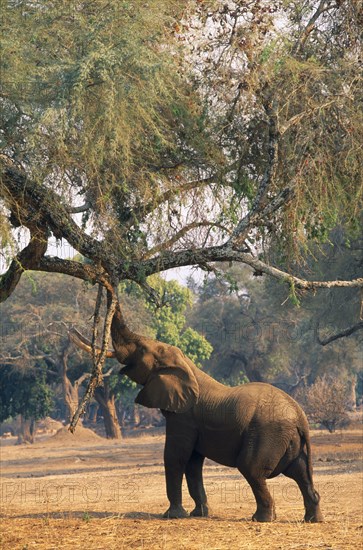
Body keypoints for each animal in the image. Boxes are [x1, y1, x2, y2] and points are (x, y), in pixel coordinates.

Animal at [72, 300, 324, 524]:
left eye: (141, 350)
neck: (187, 366)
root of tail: (300, 416)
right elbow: (193, 463)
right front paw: (199, 514)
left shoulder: (184, 417)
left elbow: (175, 456)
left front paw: (173, 516)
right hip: (289, 438)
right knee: (300, 473)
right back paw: (313, 520)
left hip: (268, 433)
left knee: (252, 469)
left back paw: (261, 519)